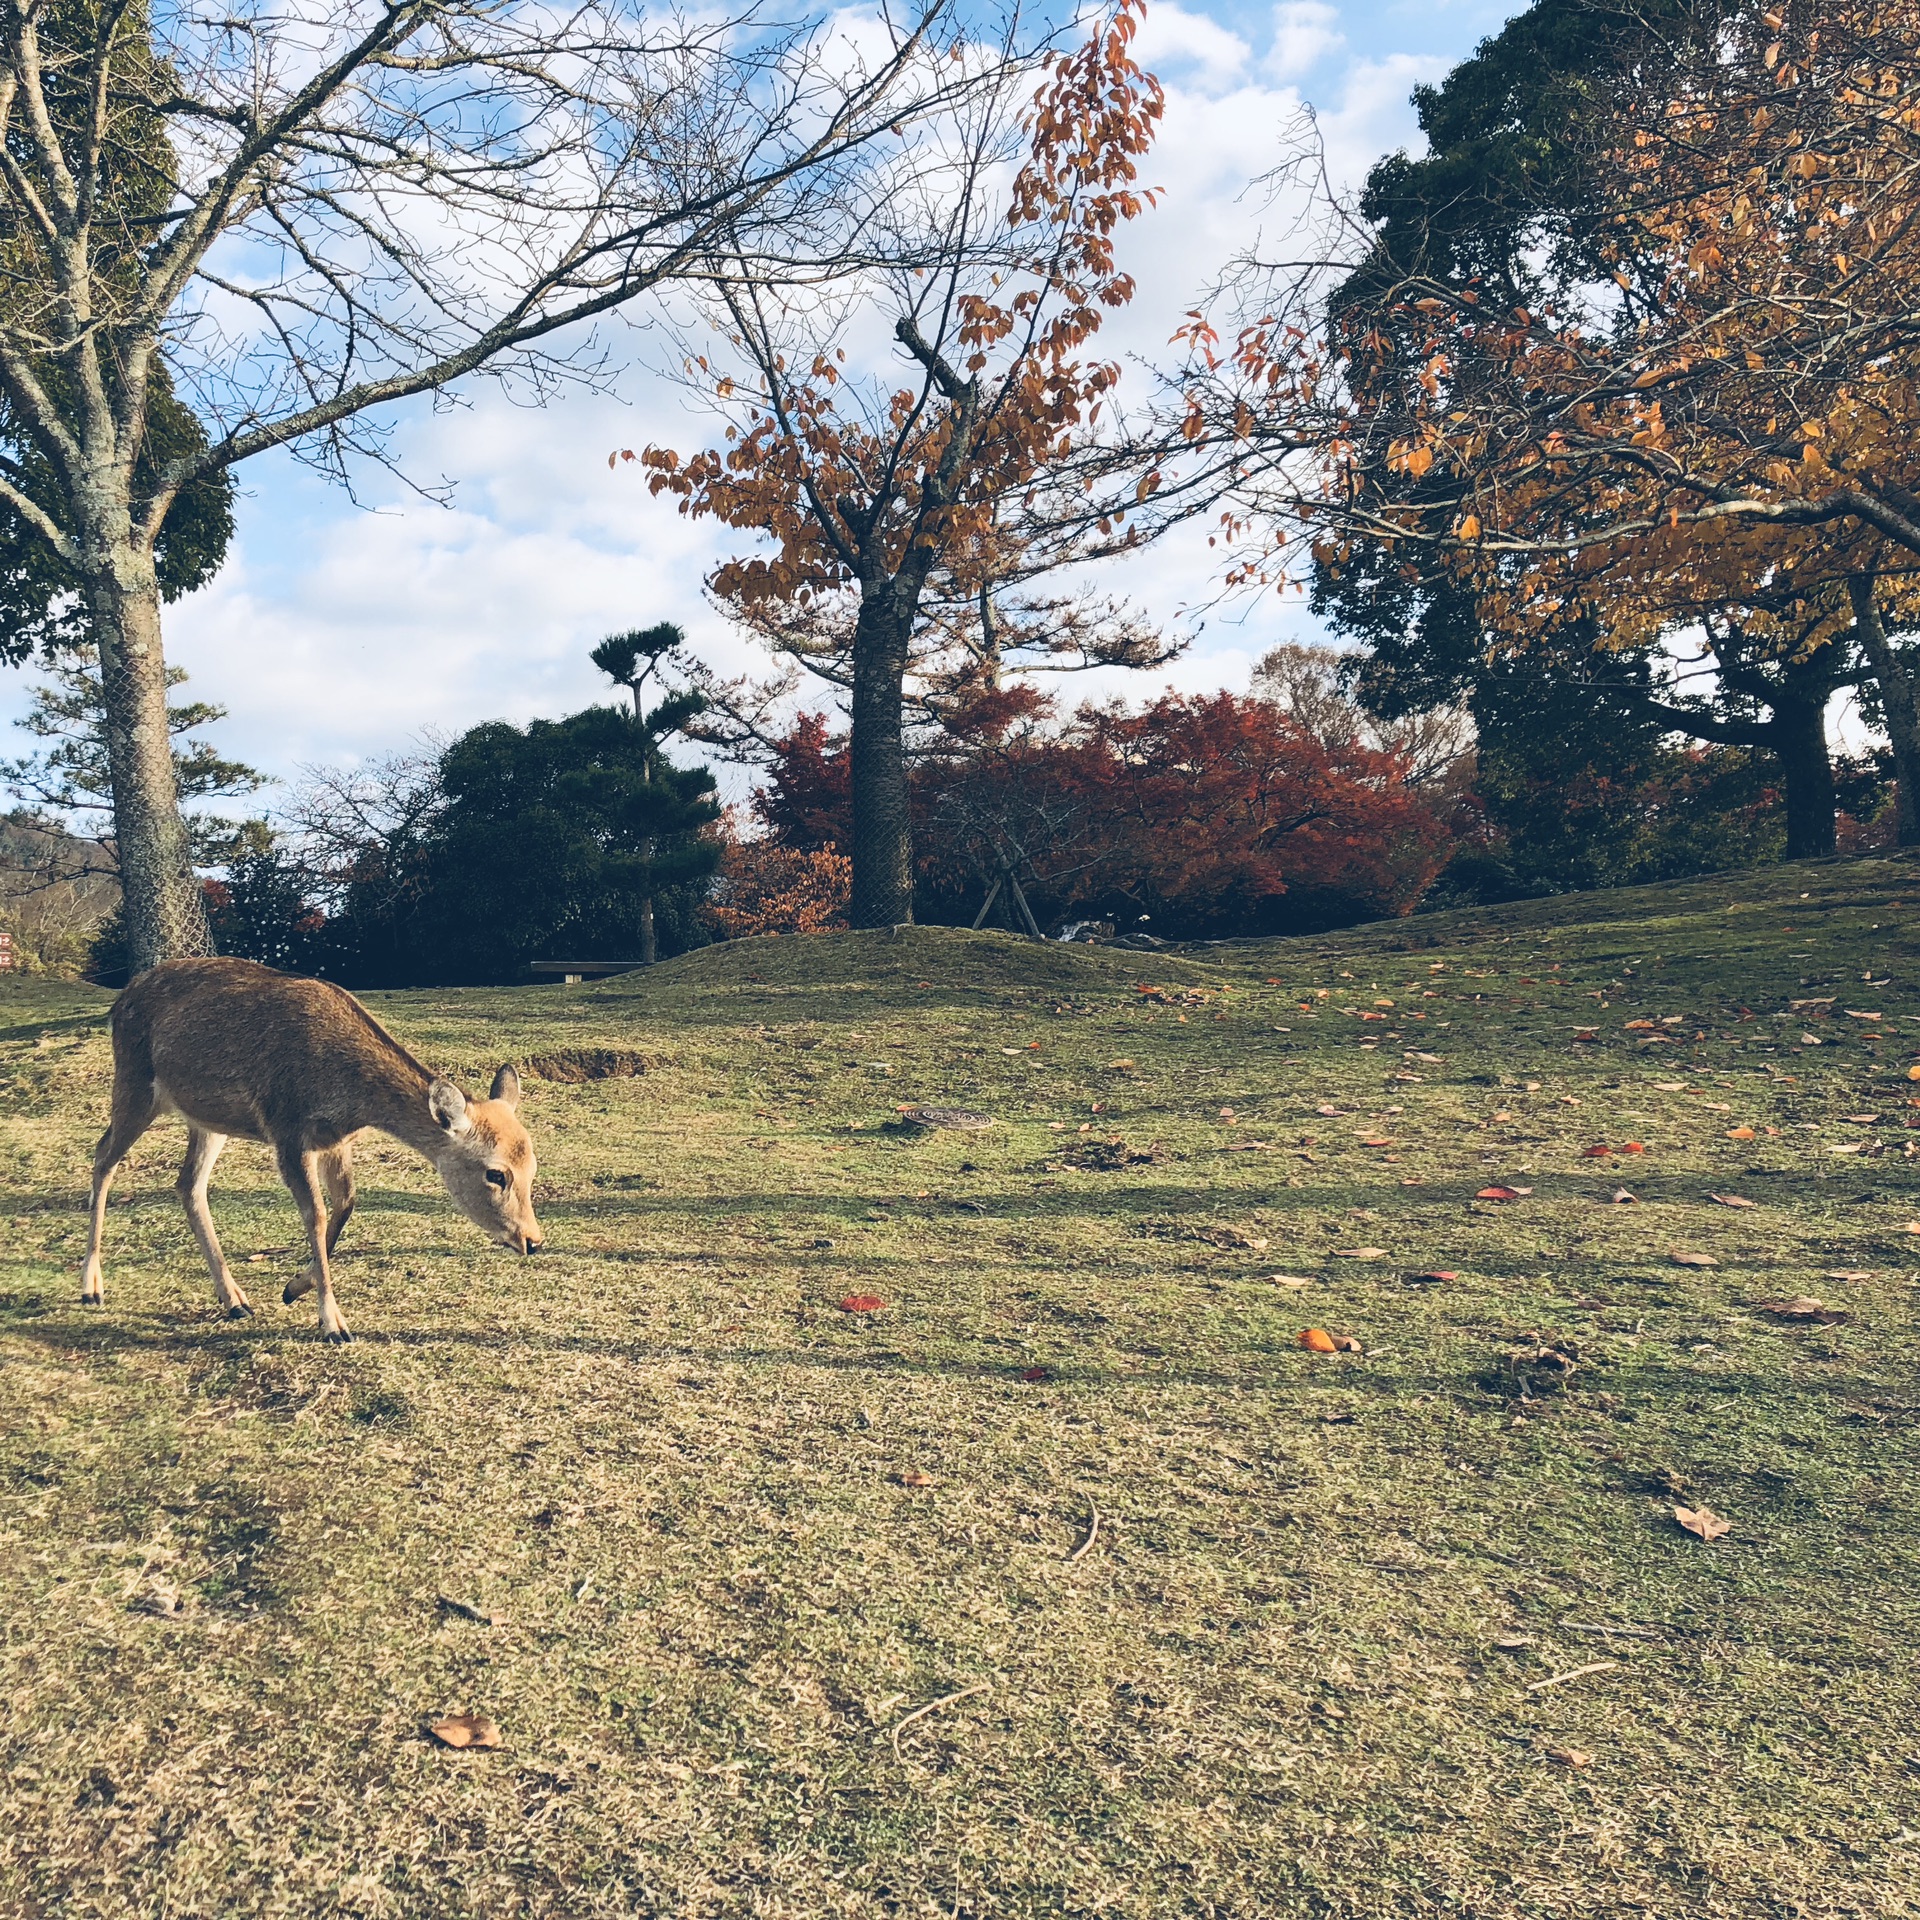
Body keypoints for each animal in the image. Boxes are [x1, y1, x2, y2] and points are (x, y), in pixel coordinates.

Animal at [79, 956, 545, 1344]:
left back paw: (235, 1300)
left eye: (533, 1167)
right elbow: (316, 1214)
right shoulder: (287, 1130)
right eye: (496, 1173)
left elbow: (346, 1203)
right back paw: (91, 1287)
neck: (348, 1095)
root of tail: (120, 1001)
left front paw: (292, 1288)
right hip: (135, 1082)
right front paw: (333, 1324)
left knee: (187, 1182)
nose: (532, 1240)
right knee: (103, 1155)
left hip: (208, 1119)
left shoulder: (335, 1141)